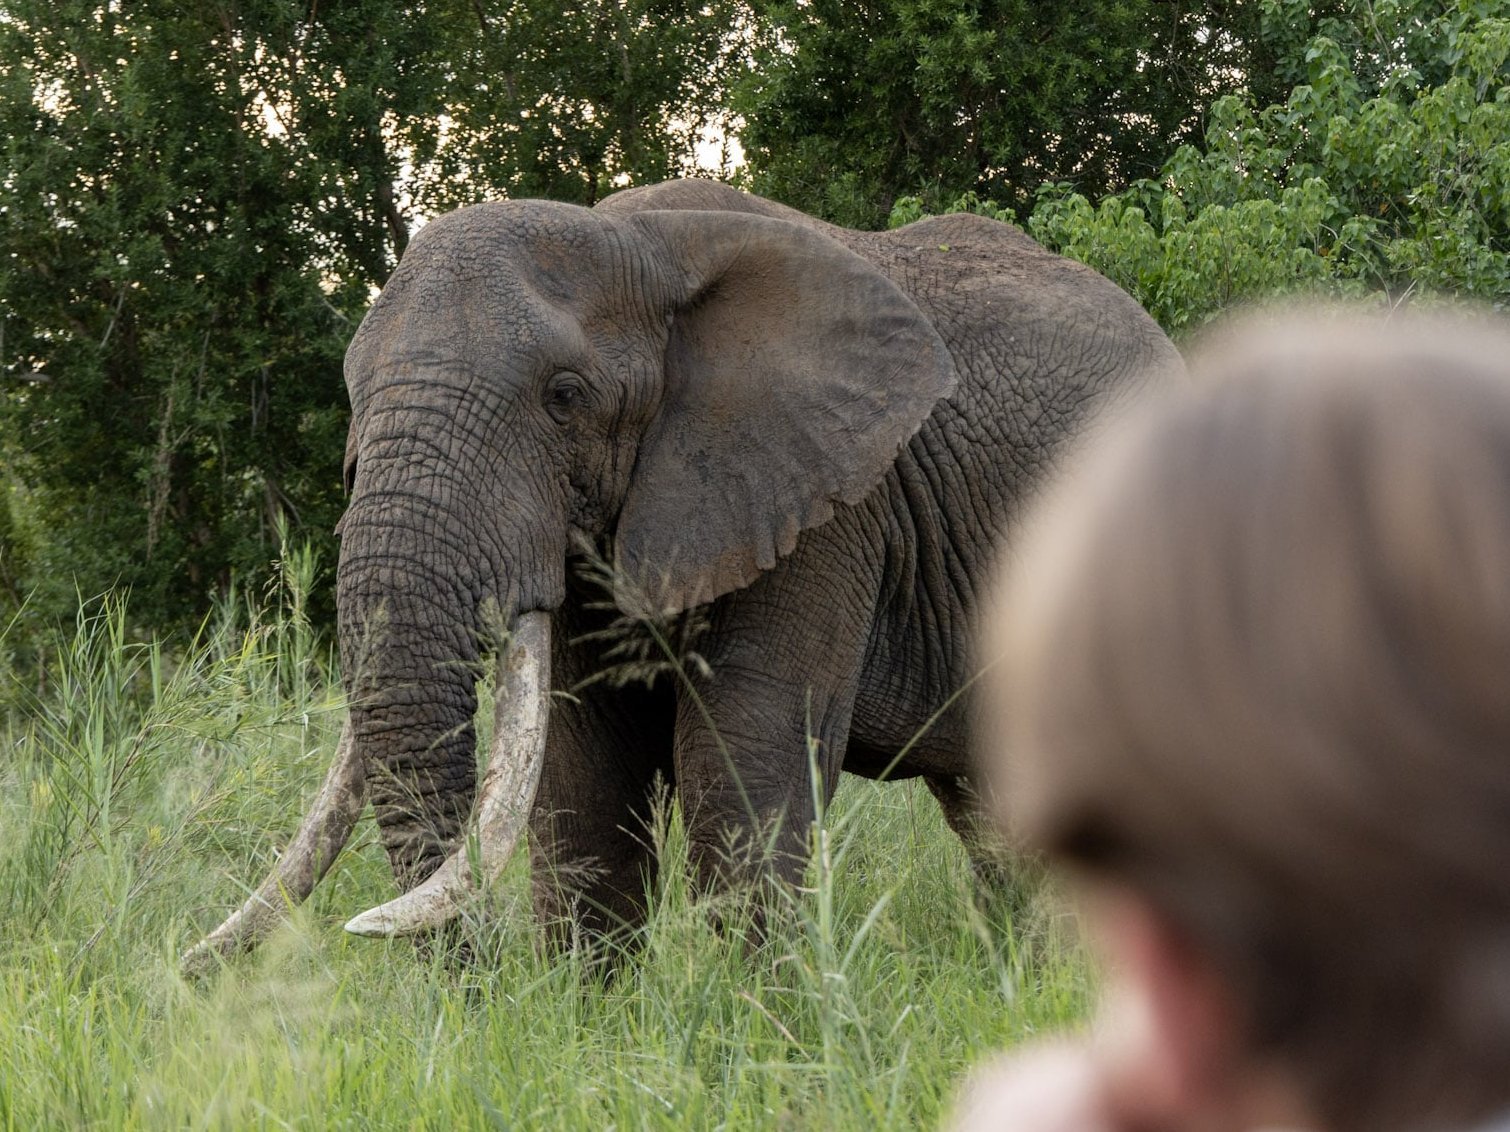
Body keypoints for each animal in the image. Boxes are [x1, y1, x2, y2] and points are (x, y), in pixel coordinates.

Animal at [182, 179, 1181, 973]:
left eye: (564, 397)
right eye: (353, 400)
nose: (482, 991)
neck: (640, 244)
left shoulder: (824, 508)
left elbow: (739, 754)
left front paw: (765, 1032)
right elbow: (582, 774)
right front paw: (591, 1022)